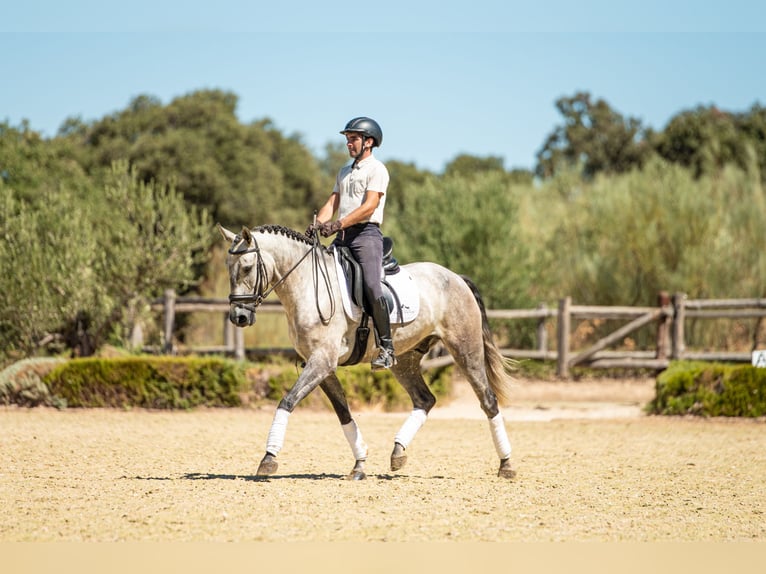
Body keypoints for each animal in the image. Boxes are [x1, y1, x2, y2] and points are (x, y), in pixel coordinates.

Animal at [219, 224, 520, 482]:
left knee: (488, 400)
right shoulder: (320, 365)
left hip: (465, 350)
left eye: (247, 267)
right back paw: (398, 452)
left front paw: (268, 459)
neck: (307, 286)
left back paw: (506, 464)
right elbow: (343, 413)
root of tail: (456, 277)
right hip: (405, 360)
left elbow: (287, 401)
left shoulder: (321, 361)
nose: (239, 317)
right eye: (227, 267)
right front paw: (359, 463)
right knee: (425, 399)